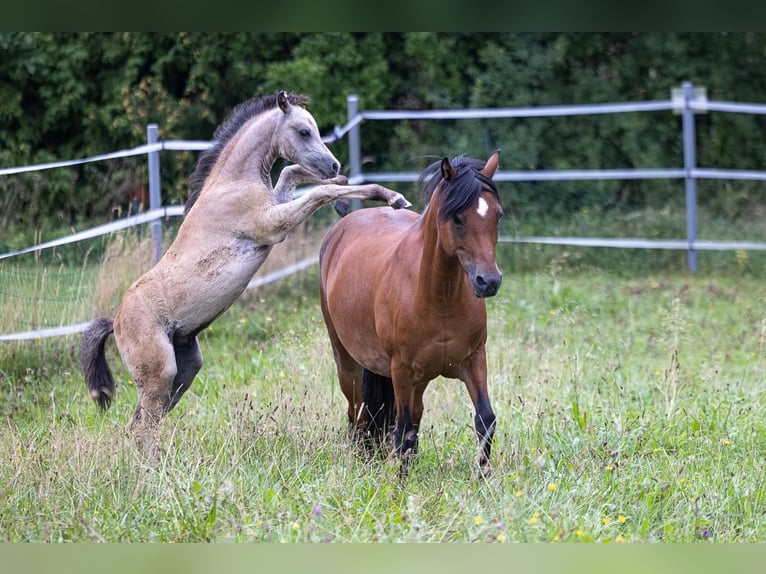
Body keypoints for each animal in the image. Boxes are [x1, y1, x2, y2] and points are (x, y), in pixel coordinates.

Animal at [80, 91, 412, 460]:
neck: (232, 182)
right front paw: (390, 196)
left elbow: (293, 173)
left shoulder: (276, 206)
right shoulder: (273, 224)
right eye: (303, 131)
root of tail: (115, 321)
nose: (335, 166)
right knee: (142, 425)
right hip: (159, 373)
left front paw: (349, 189)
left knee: (142, 422)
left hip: (183, 370)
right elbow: (317, 192)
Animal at [318, 150, 504, 476]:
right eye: (457, 217)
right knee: (358, 413)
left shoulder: (474, 359)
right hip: (347, 361)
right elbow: (402, 428)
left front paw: (483, 478)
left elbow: (485, 419)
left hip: (421, 378)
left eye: (498, 214)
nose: (488, 281)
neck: (437, 299)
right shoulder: (401, 371)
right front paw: (400, 484)